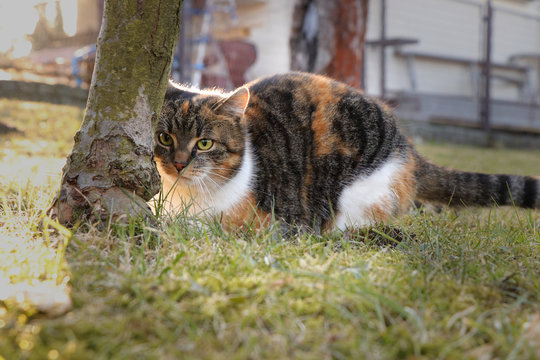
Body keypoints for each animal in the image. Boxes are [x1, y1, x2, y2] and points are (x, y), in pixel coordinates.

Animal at [153, 71, 540, 232]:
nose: (178, 164)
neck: (185, 196)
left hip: (360, 190)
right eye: (164, 138)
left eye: (204, 143)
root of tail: (408, 148)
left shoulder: (276, 222)